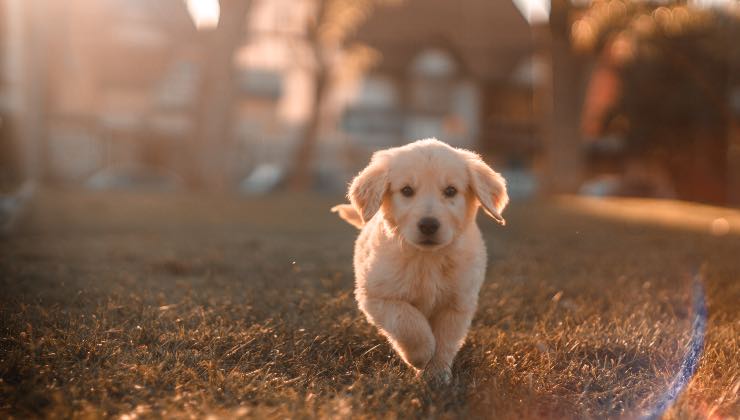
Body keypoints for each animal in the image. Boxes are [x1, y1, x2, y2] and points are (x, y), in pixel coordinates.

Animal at [332, 139, 506, 382]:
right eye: (407, 190)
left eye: (451, 191)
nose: (428, 225)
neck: (427, 258)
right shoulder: (377, 296)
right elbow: (408, 322)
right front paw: (420, 356)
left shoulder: (457, 304)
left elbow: (445, 341)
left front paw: (436, 374)